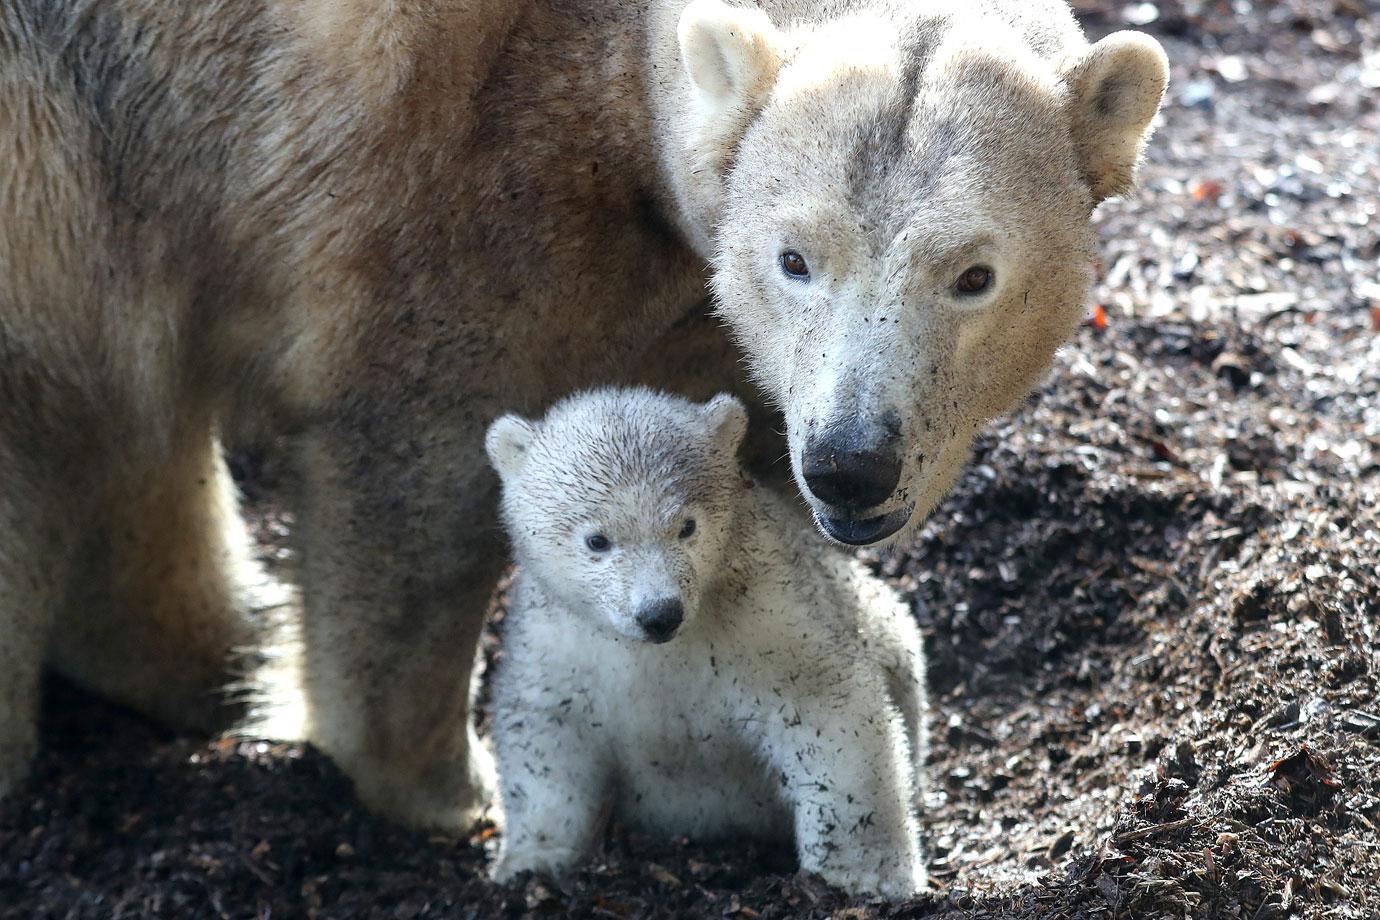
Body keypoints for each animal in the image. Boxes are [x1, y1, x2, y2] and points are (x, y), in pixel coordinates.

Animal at [0, 0, 1164, 833]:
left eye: (974, 274)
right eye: (796, 257)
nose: (850, 463)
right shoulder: (461, 188)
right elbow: (417, 465)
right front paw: (442, 785)